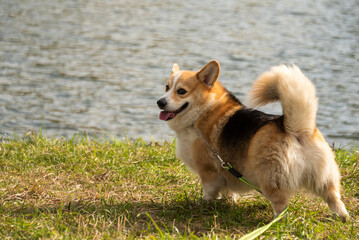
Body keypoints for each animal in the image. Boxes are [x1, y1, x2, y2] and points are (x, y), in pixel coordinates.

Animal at [156, 60, 350, 221]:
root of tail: (295, 128)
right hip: (323, 178)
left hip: (271, 179)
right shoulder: (227, 172)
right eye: (166, 87)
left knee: (281, 204)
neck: (202, 112)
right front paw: (228, 201)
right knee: (334, 198)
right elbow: (228, 190)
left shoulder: (208, 171)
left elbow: (209, 190)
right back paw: (342, 218)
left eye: (181, 91)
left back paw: (276, 222)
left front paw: (205, 203)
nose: (160, 102)